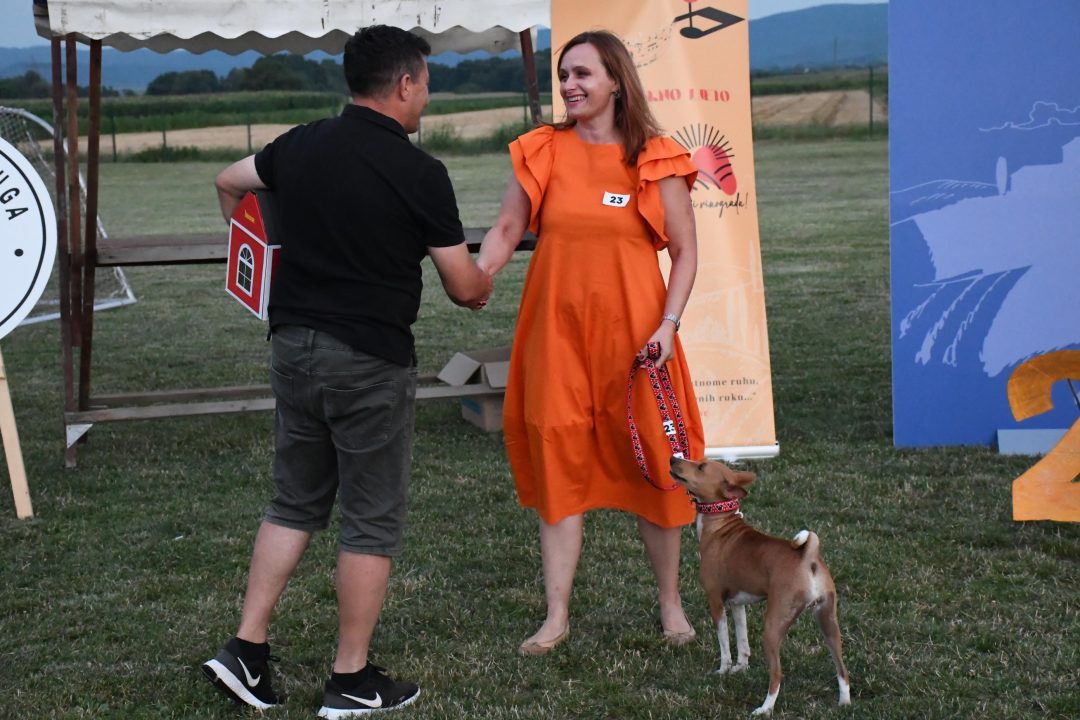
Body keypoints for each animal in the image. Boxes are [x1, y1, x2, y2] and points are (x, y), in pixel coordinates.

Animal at [669, 456, 851, 715]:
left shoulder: (715, 600)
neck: (720, 525)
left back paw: (764, 709)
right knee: (842, 669)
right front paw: (740, 668)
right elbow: (742, 640)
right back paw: (844, 703)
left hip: (773, 628)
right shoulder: (737, 603)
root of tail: (809, 555)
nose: (673, 458)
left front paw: (723, 670)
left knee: (777, 675)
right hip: (828, 622)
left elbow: (724, 643)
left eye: (701, 466)